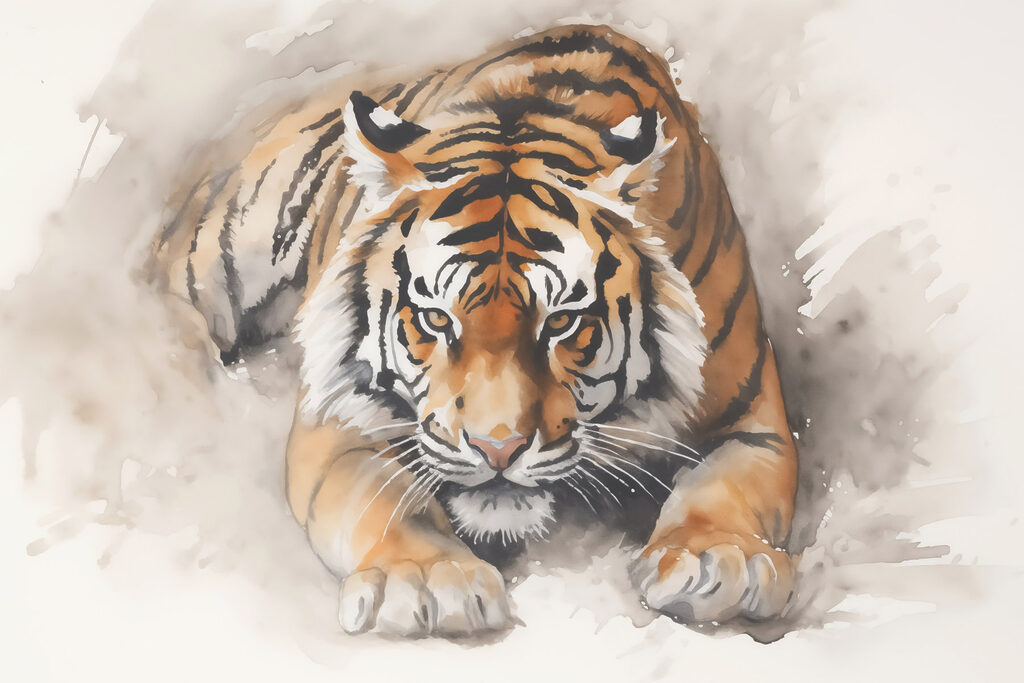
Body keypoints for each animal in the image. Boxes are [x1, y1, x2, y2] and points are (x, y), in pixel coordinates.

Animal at [154, 24, 798, 636]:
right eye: (436, 318)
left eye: (561, 322)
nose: (498, 449)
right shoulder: (341, 420)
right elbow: (386, 500)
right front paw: (424, 579)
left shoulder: (753, 418)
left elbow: (726, 486)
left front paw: (722, 559)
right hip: (225, 243)